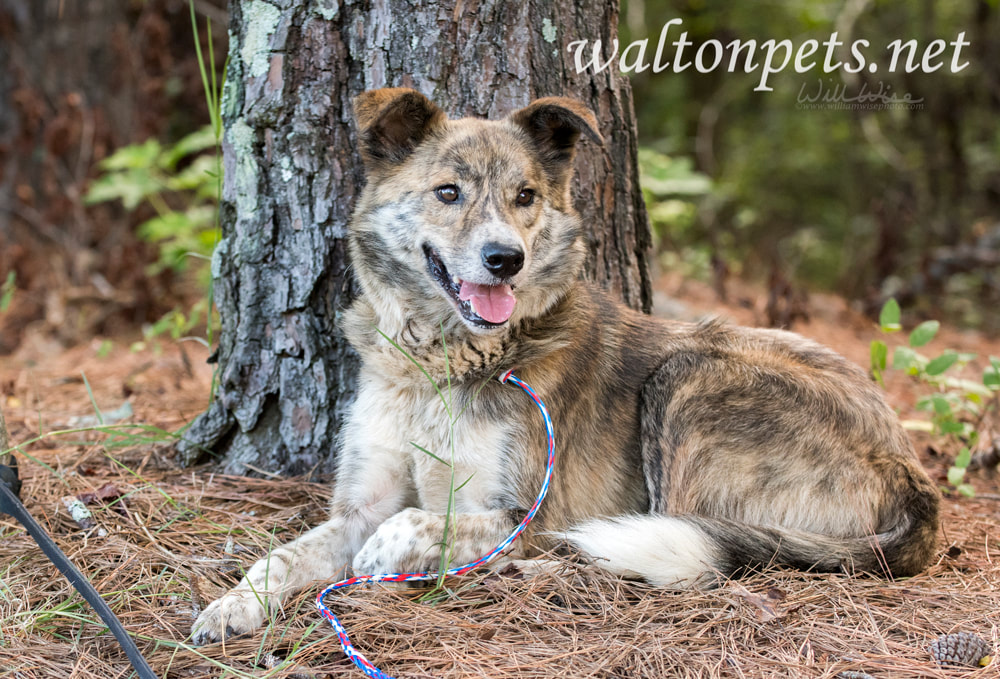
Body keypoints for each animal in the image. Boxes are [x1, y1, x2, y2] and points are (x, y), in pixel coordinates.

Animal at [191, 89, 940, 644]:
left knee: (686, 548)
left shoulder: (523, 509)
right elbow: (286, 552)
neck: (442, 362)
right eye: (447, 192)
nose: (505, 259)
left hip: (689, 378)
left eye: (525, 196)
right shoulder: (357, 504)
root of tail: (912, 475)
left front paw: (397, 551)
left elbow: (423, 522)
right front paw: (231, 605)